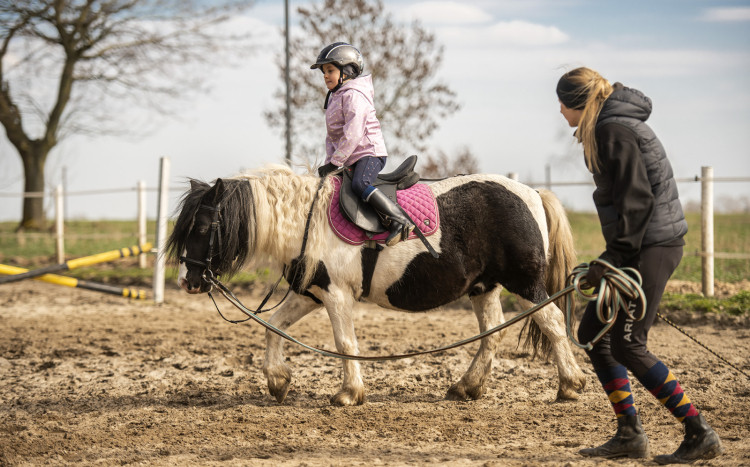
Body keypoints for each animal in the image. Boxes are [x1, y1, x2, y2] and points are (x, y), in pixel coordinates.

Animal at [169, 166, 588, 408]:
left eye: (202, 227)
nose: (187, 281)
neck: (305, 221)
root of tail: (532, 193)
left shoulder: (336, 295)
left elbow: (345, 343)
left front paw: (348, 393)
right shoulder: (311, 294)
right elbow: (274, 329)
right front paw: (278, 381)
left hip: (526, 283)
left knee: (552, 322)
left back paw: (570, 384)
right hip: (484, 287)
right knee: (492, 334)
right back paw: (466, 388)